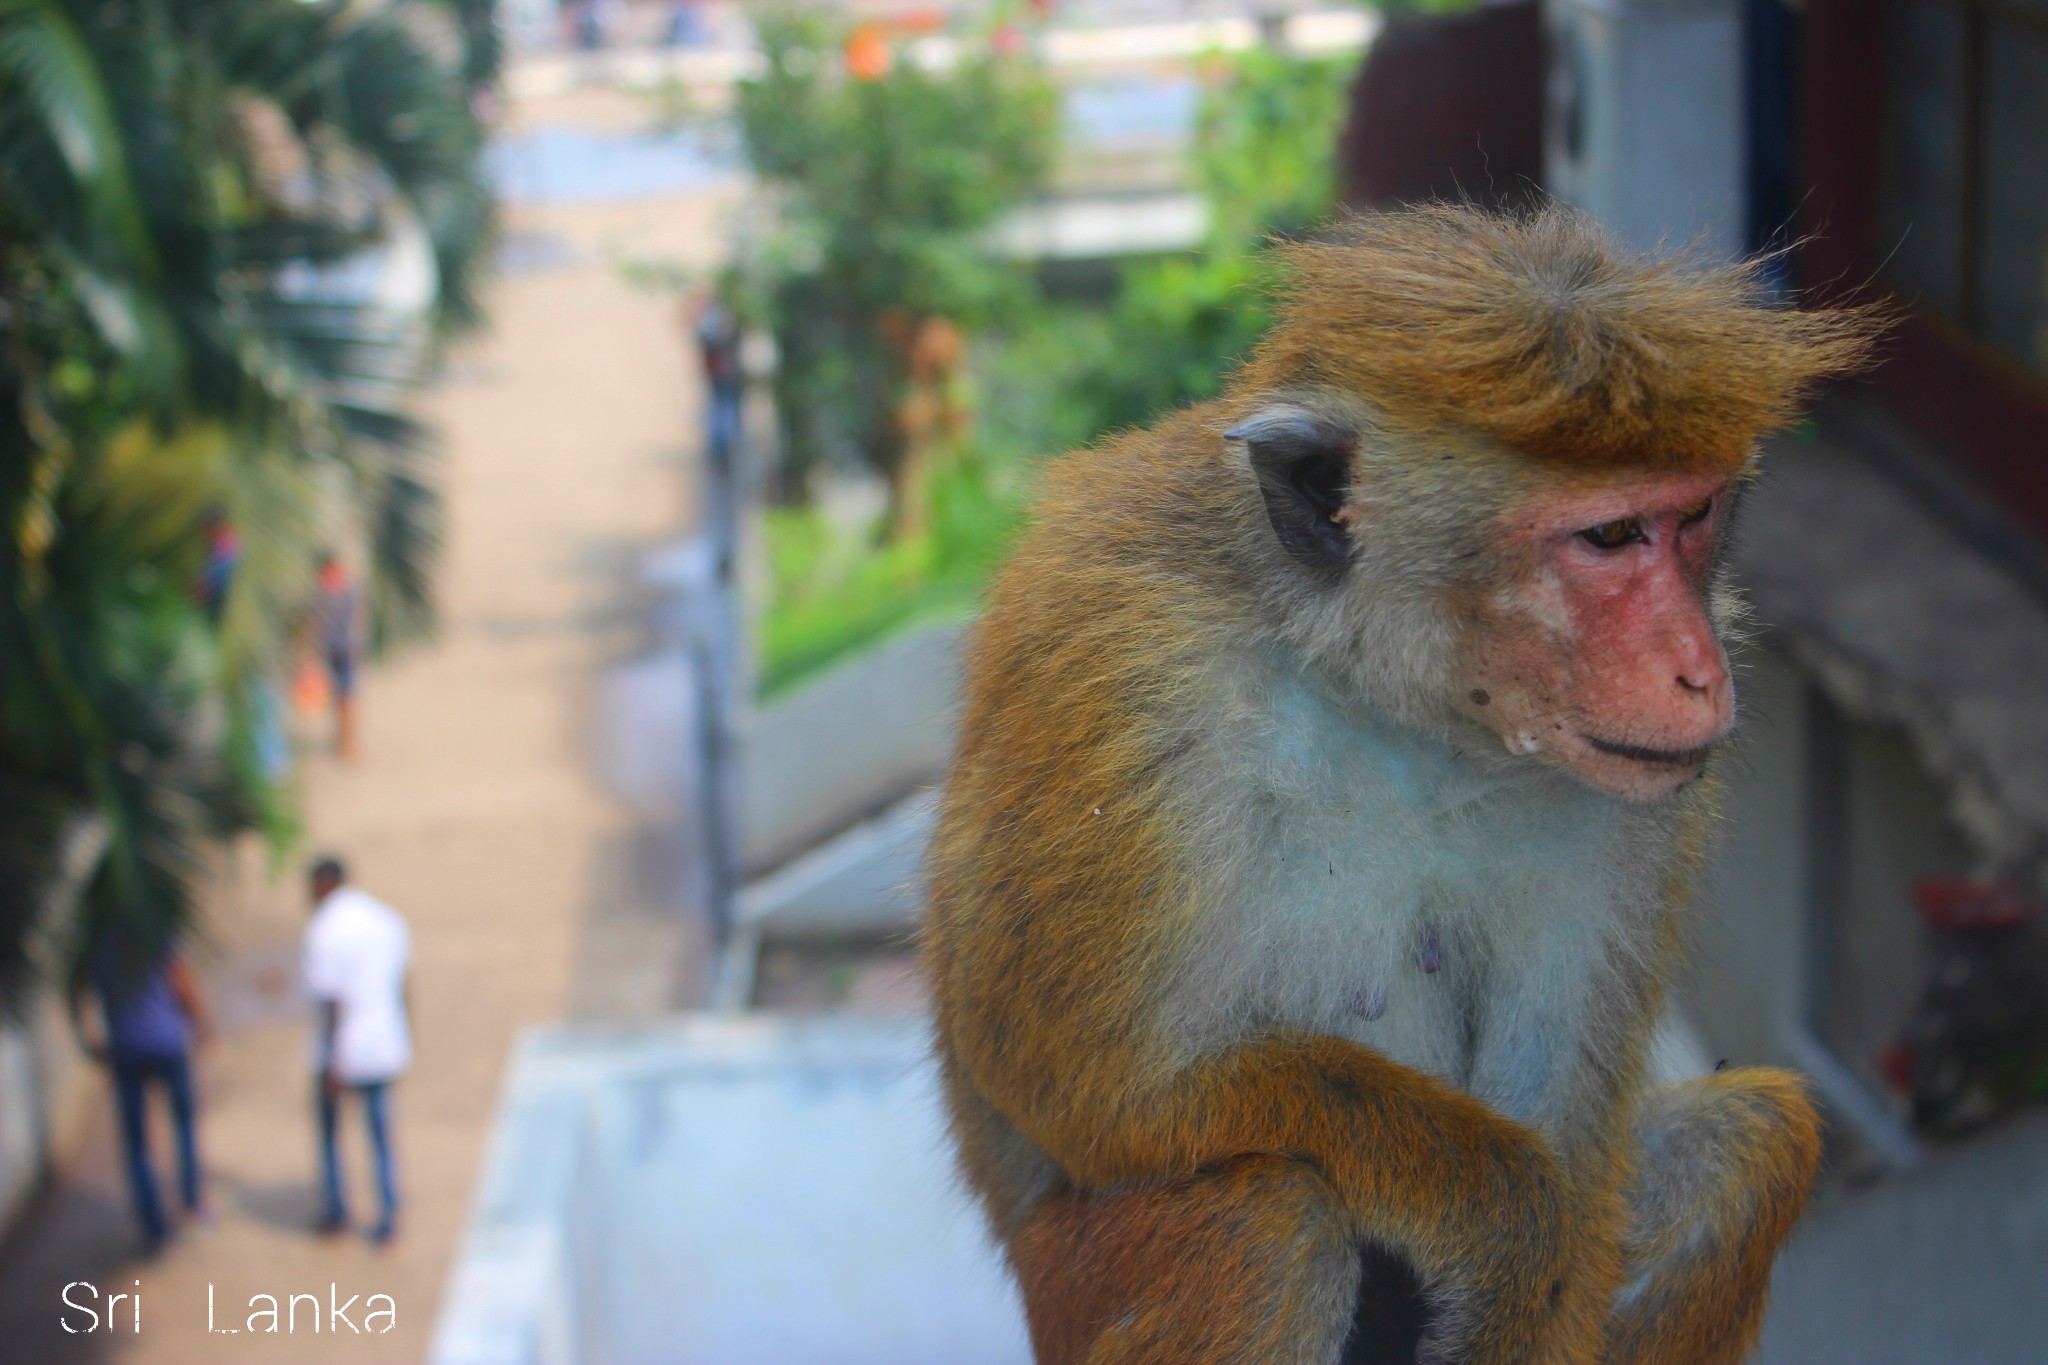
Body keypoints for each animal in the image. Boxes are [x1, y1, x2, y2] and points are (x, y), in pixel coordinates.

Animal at [921, 205, 1875, 1365]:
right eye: (1610, 536)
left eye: (1693, 518)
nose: (1701, 668)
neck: (1388, 699)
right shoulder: (1124, 684)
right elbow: (1081, 1081)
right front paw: (1502, 1208)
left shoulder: (1630, 816)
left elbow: (1564, 1132)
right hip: (1074, 1287)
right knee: (1264, 1224)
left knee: (1748, 1146)